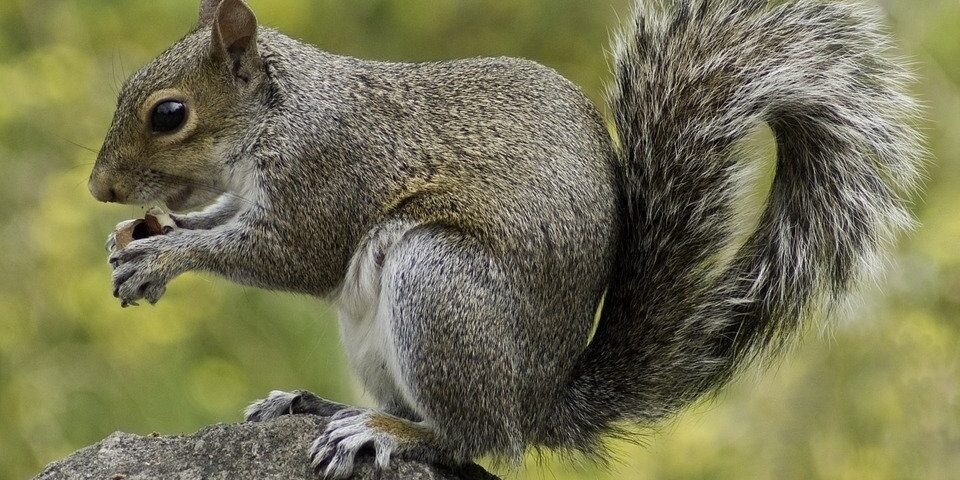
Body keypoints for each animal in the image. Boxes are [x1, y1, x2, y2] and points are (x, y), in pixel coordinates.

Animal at [89, 0, 922, 477]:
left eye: (169, 114)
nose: (99, 188)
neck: (281, 113)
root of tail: (538, 400)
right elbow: (224, 222)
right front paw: (138, 236)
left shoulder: (328, 174)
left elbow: (289, 253)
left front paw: (162, 256)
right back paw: (317, 405)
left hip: (437, 287)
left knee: (472, 438)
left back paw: (384, 433)